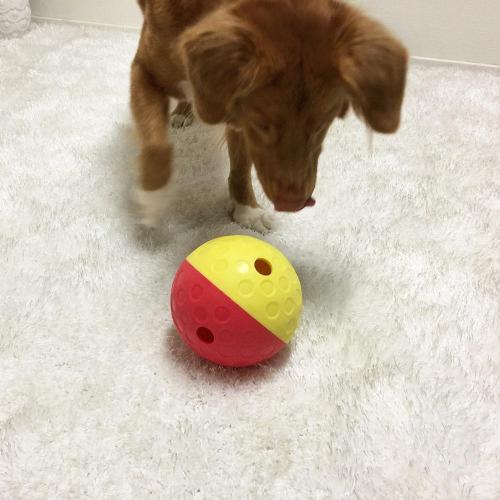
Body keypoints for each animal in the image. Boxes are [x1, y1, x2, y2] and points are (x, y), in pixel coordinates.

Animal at [131, 0, 408, 230]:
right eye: (261, 124)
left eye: (321, 126)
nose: (293, 204)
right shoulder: (142, 71)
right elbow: (156, 147)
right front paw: (151, 202)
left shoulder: (235, 116)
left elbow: (241, 168)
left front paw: (246, 210)